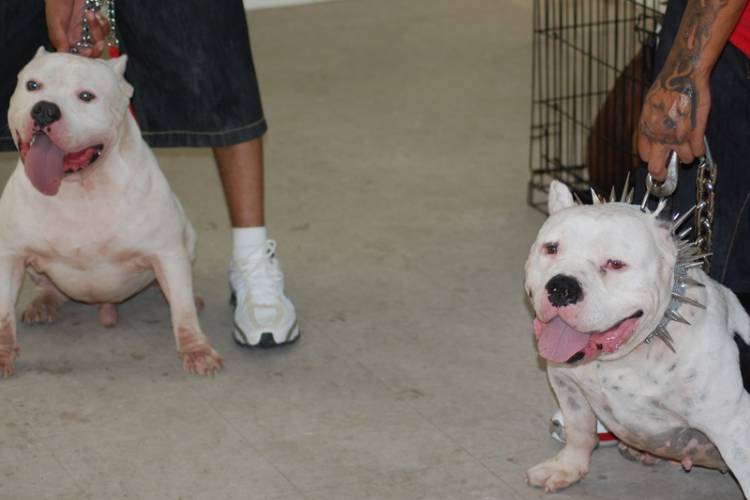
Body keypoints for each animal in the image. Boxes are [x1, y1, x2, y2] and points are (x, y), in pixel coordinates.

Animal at [0, 50, 222, 376]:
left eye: (86, 96)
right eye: (33, 85)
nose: (44, 111)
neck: (79, 187)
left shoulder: (167, 252)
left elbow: (182, 311)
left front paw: (197, 349)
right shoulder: (11, 256)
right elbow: (4, 313)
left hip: (187, 239)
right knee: (52, 288)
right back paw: (44, 303)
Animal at [524, 181, 750, 496]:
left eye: (616, 264)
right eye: (551, 248)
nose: (562, 287)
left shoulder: (736, 429)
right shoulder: (566, 383)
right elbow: (579, 429)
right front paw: (567, 467)